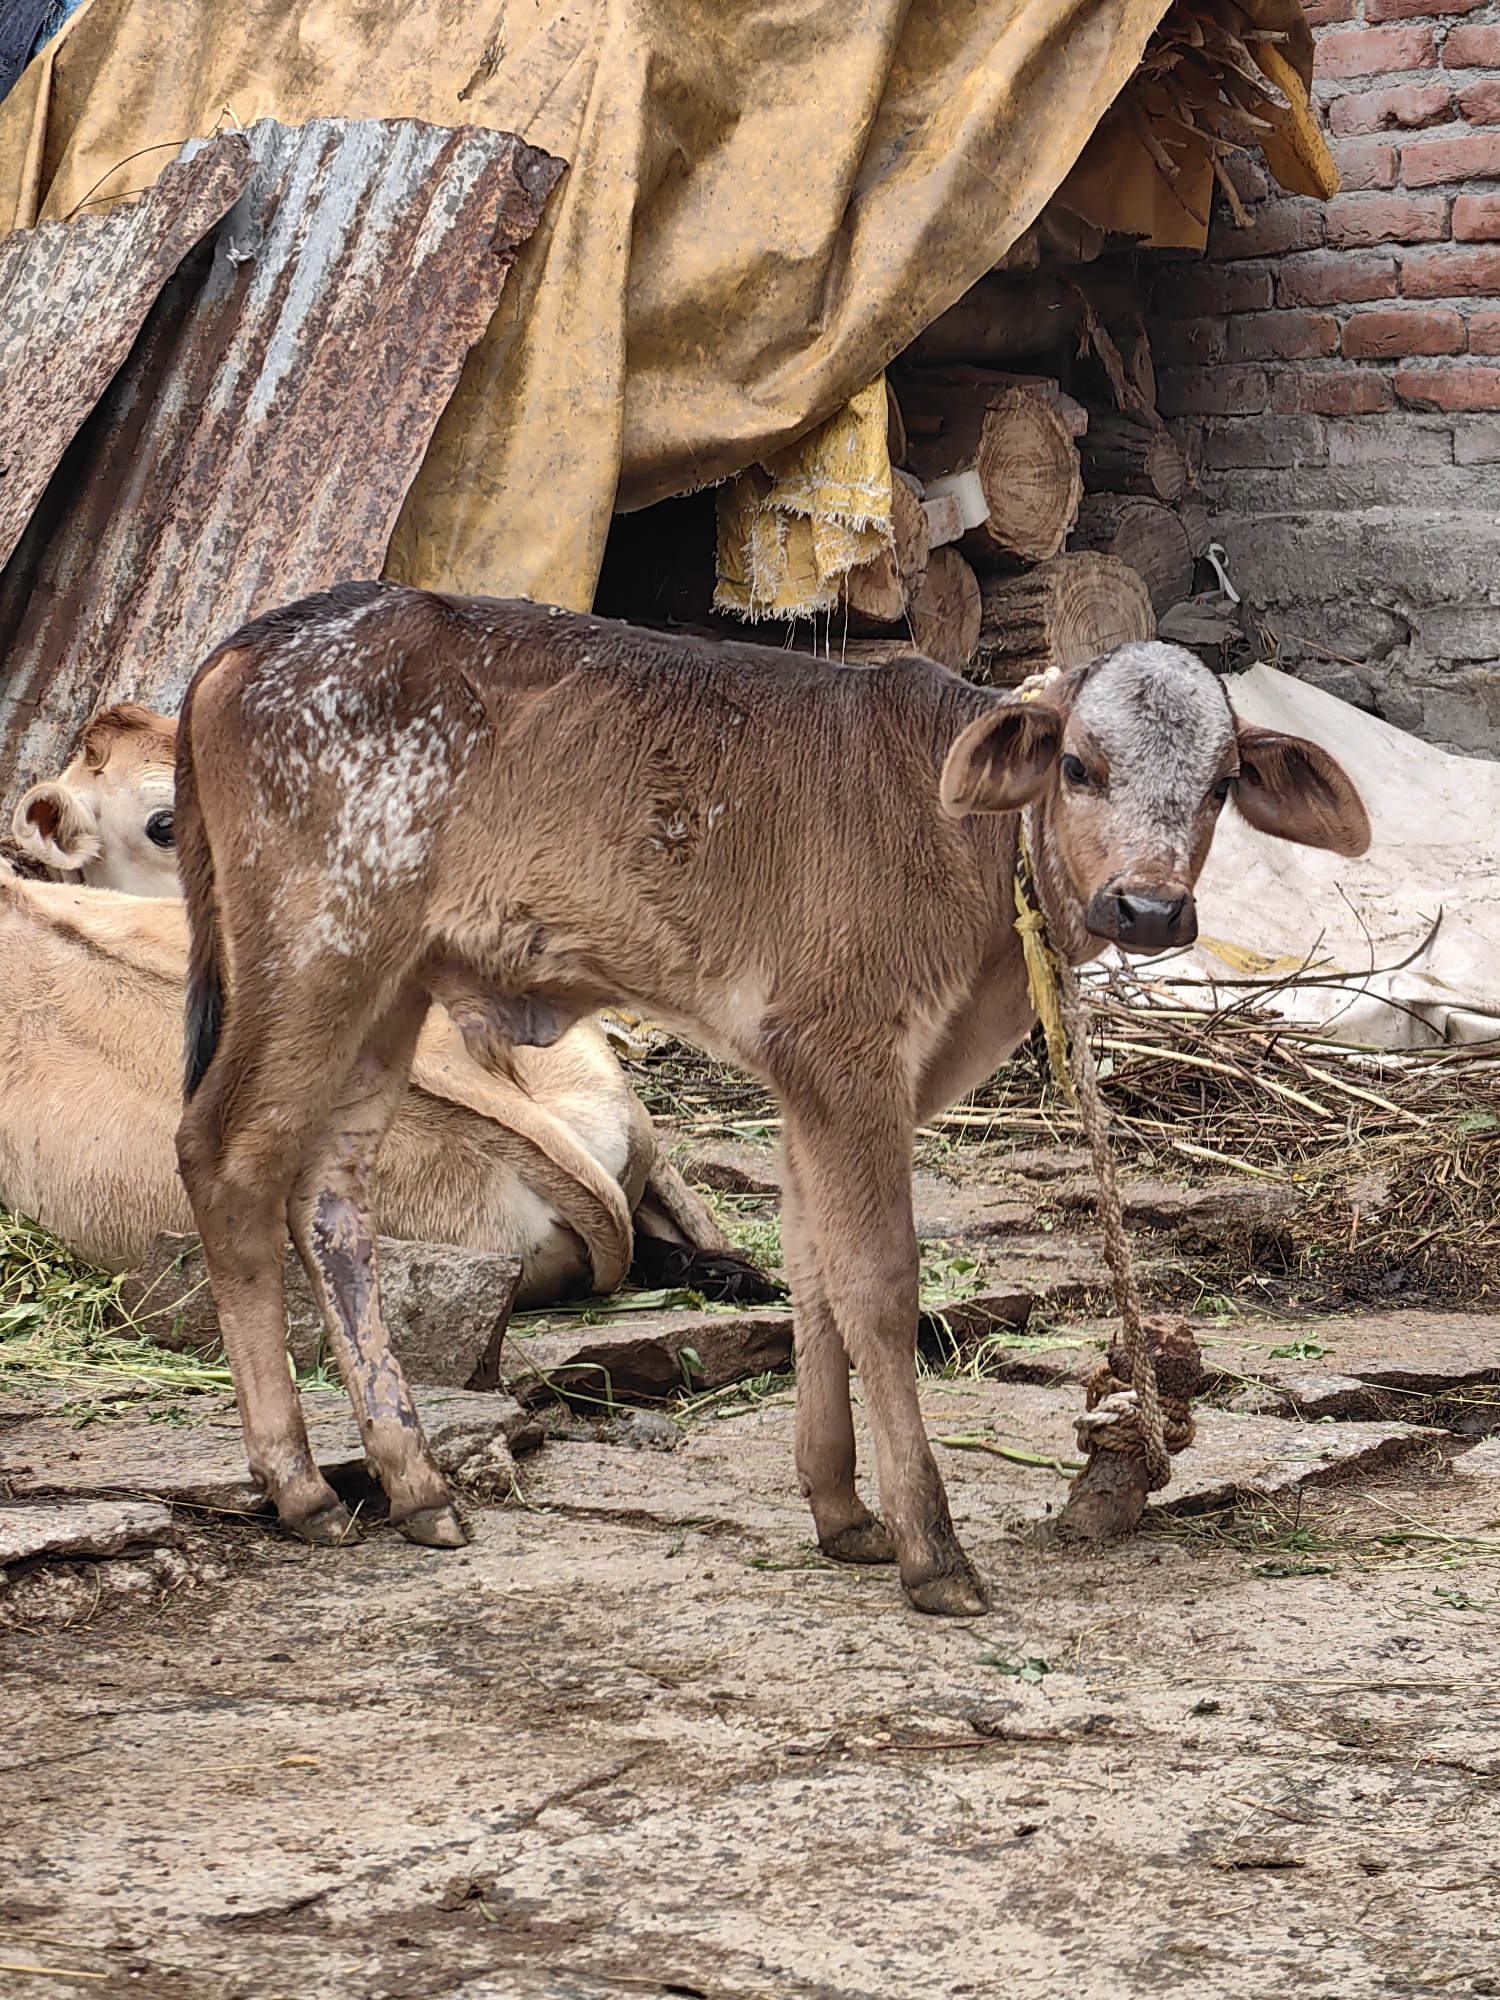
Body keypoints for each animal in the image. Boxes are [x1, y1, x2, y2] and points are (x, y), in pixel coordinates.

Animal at [174, 585, 1369, 1613]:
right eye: (1077, 763)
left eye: (1219, 785)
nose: (1150, 906)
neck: (970, 853)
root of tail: (254, 641)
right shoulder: (841, 1051)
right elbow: (878, 1281)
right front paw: (932, 1548)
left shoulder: (810, 1084)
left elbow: (816, 1271)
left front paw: (843, 1511)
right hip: (318, 952)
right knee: (225, 1159)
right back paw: (302, 1484)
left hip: (393, 984)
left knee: (331, 1196)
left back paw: (414, 1480)